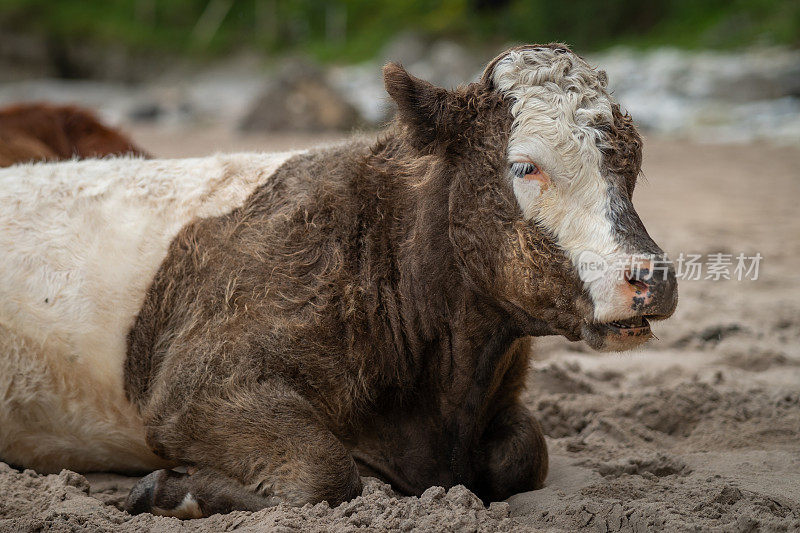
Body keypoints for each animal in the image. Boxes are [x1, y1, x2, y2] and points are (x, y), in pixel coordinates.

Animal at [0, 43, 680, 516]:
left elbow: (525, 453)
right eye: (524, 166)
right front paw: (173, 491)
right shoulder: (197, 386)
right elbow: (327, 473)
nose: (652, 277)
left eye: (633, 161)